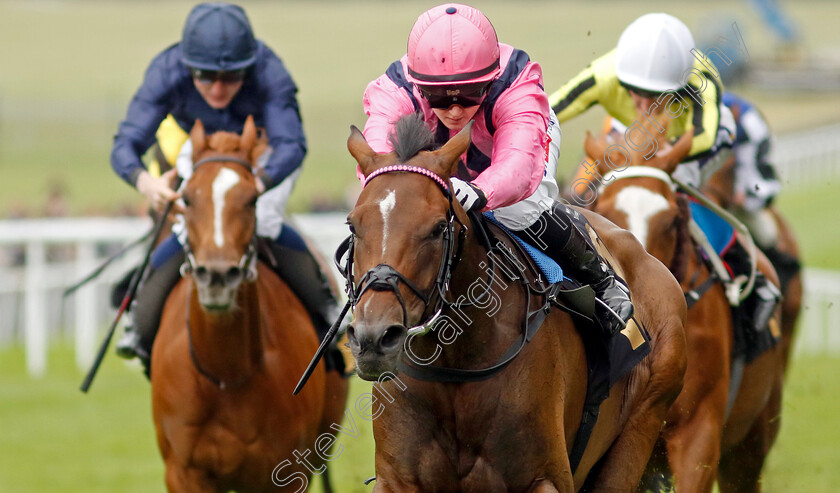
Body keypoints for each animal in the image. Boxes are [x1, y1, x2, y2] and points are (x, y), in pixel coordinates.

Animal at [152, 117, 348, 490]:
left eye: (253, 199)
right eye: (186, 198)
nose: (217, 275)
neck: (227, 373)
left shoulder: (288, 471)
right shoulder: (182, 472)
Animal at [342, 114, 688, 488]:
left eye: (437, 228)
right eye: (353, 225)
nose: (373, 338)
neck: (455, 362)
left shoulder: (546, 476)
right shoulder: (397, 479)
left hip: (640, 427)